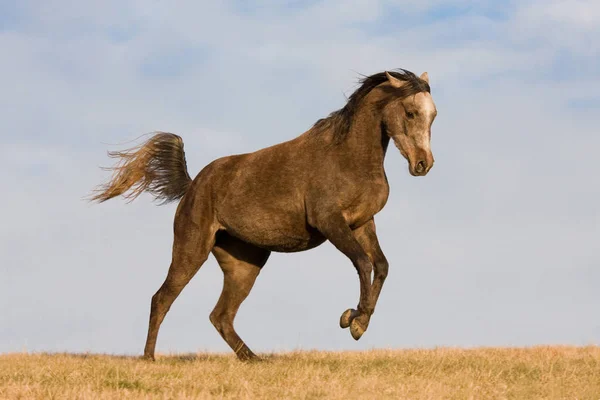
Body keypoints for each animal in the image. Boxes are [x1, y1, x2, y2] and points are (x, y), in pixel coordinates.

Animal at [94, 68, 438, 360]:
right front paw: (353, 322)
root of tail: (192, 186)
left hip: (245, 265)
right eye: (410, 112)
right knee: (162, 298)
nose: (423, 164)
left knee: (221, 316)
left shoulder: (362, 223)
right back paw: (149, 358)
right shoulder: (331, 223)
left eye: (433, 115)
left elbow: (381, 266)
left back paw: (253, 358)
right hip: (191, 249)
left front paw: (357, 319)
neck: (348, 156)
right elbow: (364, 263)